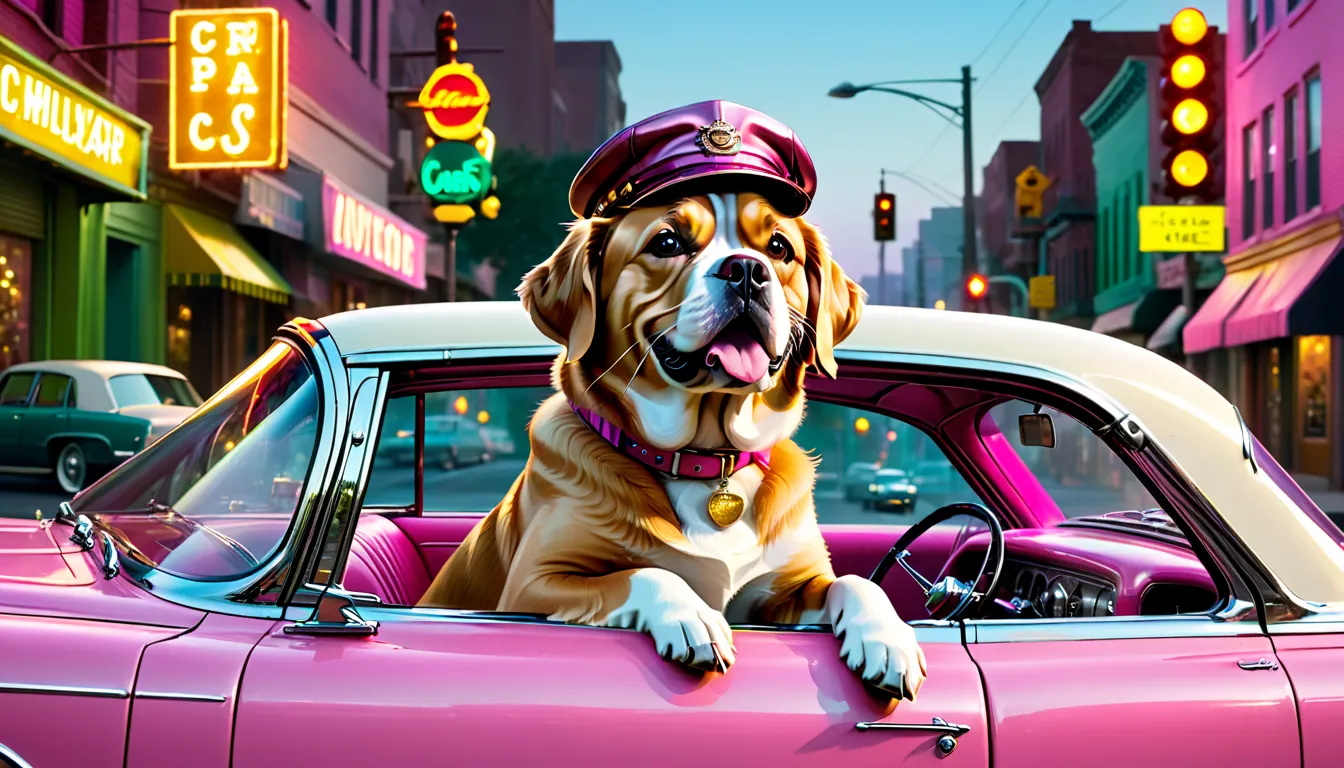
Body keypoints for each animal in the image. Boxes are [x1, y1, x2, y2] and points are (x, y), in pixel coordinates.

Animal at [416, 98, 924, 699]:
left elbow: (853, 581)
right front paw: (693, 617)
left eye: (779, 248)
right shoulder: (531, 586)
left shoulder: (787, 589)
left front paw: (887, 637)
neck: (706, 462)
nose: (746, 270)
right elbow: (641, 573)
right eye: (667, 242)